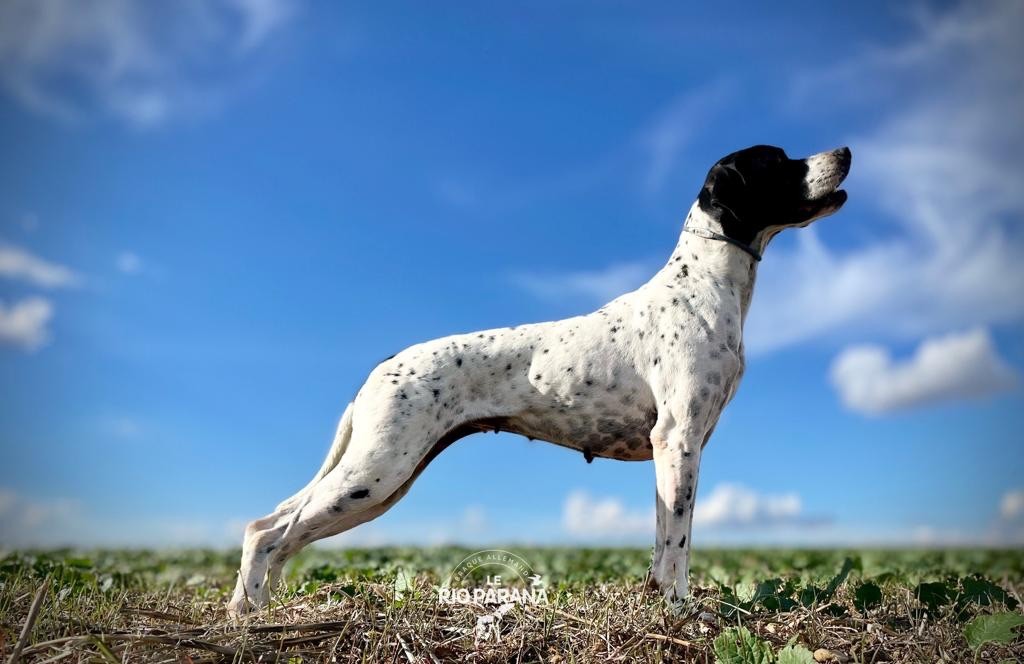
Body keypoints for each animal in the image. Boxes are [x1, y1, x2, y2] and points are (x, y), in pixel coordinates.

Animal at [228, 142, 851, 614]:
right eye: (779, 160)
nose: (844, 152)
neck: (705, 283)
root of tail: (380, 368)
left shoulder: (680, 451)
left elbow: (666, 540)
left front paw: (661, 603)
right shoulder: (678, 441)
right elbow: (676, 543)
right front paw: (681, 612)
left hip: (380, 477)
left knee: (275, 526)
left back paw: (255, 610)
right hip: (377, 473)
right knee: (269, 533)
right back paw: (251, 612)